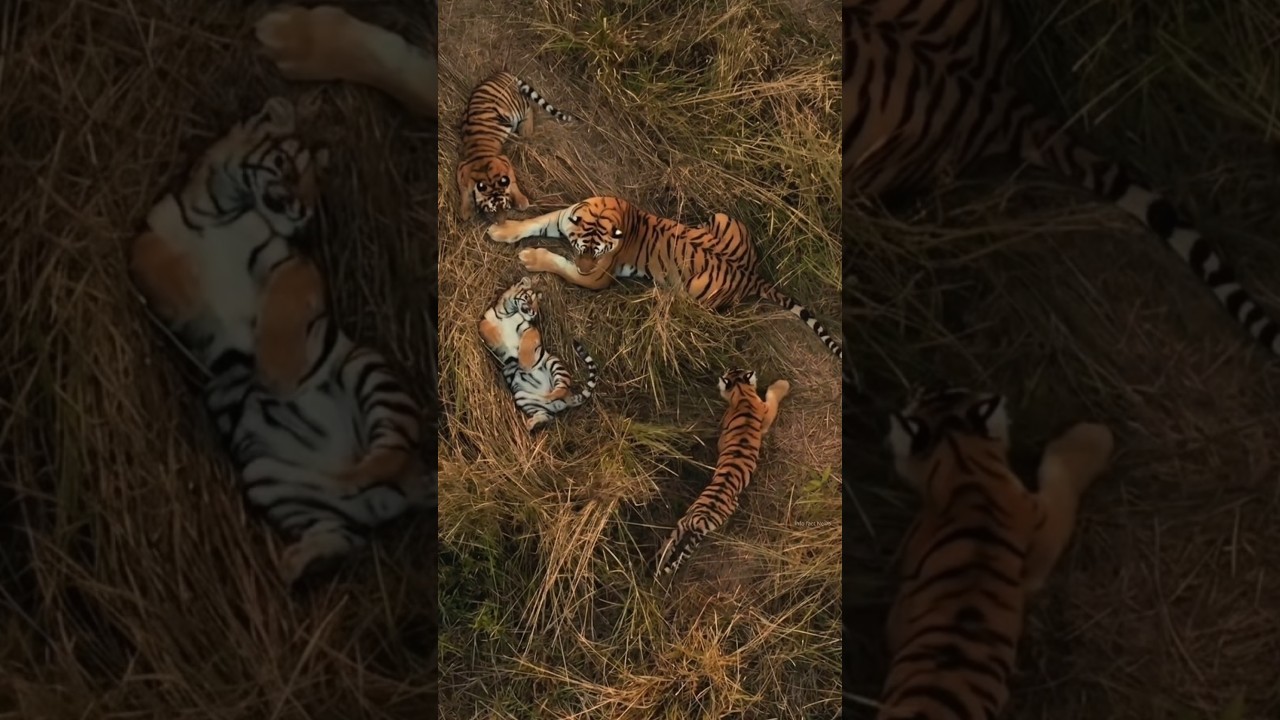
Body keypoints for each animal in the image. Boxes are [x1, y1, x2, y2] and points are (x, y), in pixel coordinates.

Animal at [127, 96, 433, 587]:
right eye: (289, 166)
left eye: (316, 187)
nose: (304, 211)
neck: (221, 210)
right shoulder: (150, 233)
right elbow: (155, 260)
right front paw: (190, 298)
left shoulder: (287, 263)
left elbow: (282, 311)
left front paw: (277, 373)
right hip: (270, 478)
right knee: (342, 534)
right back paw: (300, 564)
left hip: (365, 368)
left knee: (390, 447)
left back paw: (354, 471)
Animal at [478, 276, 598, 432]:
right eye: (529, 299)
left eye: (537, 305)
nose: (534, 313)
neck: (508, 312)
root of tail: (567, 399)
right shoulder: (484, 320)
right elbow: (487, 328)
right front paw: (498, 339)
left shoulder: (528, 328)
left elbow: (527, 343)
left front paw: (525, 363)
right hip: (523, 397)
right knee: (546, 415)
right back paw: (532, 424)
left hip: (553, 363)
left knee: (560, 388)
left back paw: (548, 396)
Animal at [485, 197, 844, 360]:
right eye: (580, 248)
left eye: (597, 256)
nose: (585, 266)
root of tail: (753, 275)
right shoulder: (562, 218)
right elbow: (533, 222)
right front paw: (503, 231)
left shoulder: (599, 277)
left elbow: (560, 264)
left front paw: (530, 257)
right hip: (723, 217)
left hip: (697, 287)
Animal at [654, 369, 790, 578]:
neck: (743, 394)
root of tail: (702, 521)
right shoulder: (765, 414)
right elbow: (774, 397)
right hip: (696, 518)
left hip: (684, 521)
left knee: (670, 544)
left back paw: (659, 564)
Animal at [879, 382, 1114, 718]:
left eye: (949, 391)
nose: (921, 388)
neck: (964, 466)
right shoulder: (1048, 528)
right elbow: (1064, 476)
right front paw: (1097, 434)